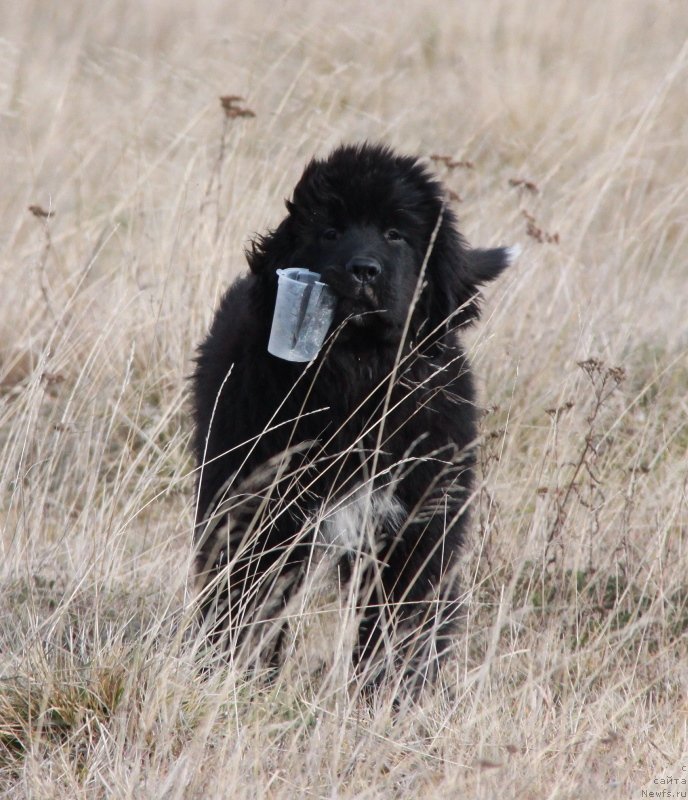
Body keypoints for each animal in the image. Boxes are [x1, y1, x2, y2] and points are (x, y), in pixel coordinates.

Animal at [191, 141, 512, 692]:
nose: (363, 270)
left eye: (395, 234)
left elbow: (404, 621)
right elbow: (251, 601)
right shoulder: (262, 511)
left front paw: (391, 696)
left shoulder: (417, 527)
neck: (358, 375)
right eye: (330, 231)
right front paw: (242, 680)